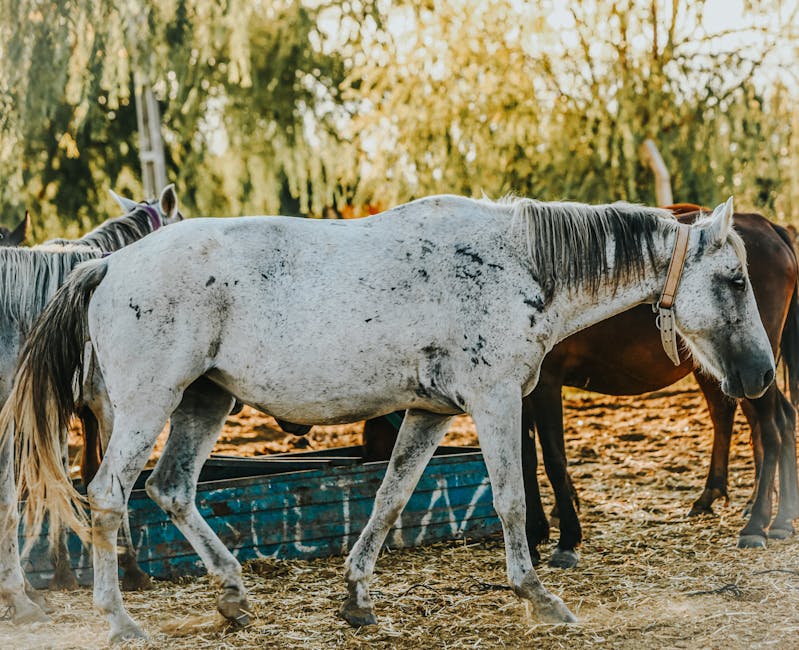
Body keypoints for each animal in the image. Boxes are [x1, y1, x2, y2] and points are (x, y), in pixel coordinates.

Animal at [366, 206, 799, 560]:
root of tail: (771, 227)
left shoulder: (544, 385)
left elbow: (554, 460)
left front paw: (567, 539)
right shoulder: (516, 390)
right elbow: (526, 459)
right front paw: (536, 533)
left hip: (748, 374)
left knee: (773, 427)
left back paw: (760, 523)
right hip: (727, 373)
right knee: (767, 421)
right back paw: (765, 512)